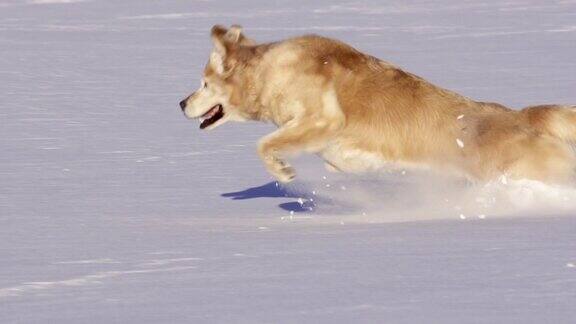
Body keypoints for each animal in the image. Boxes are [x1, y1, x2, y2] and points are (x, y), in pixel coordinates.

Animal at [180, 24, 576, 184]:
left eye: (203, 84)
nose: (180, 102)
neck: (270, 70)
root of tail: (522, 115)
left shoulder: (324, 119)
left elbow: (263, 145)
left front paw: (283, 172)